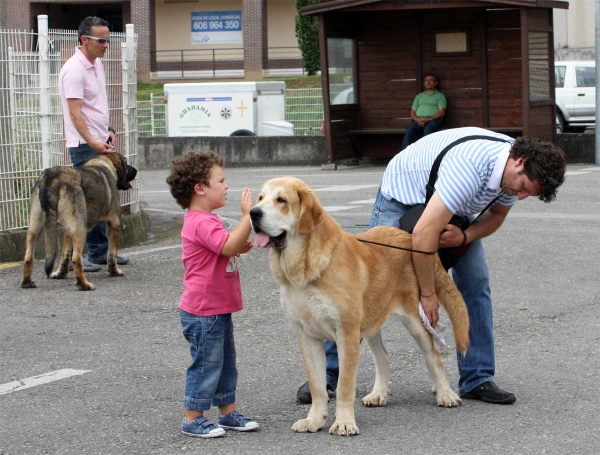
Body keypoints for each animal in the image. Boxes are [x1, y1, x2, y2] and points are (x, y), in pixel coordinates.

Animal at [20, 151, 137, 290]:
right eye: (126, 163)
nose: (136, 170)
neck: (103, 164)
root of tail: (52, 177)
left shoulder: (68, 229)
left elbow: (65, 254)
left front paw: (60, 274)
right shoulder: (114, 223)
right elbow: (112, 253)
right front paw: (114, 272)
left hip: (35, 226)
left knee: (28, 256)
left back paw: (27, 282)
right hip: (80, 228)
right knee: (76, 257)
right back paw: (84, 284)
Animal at [248, 177, 468, 438]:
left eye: (281, 200)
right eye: (261, 198)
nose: (253, 213)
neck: (306, 268)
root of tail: (407, 237)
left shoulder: (346, 333)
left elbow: (344, 385)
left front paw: (344, 422)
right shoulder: (306, 336)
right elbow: (317, 385)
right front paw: (314, 420)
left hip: (413, 321)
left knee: (432, 355)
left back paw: (445, 393)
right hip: (371, 322)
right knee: (383, 356)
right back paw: (379, 393)